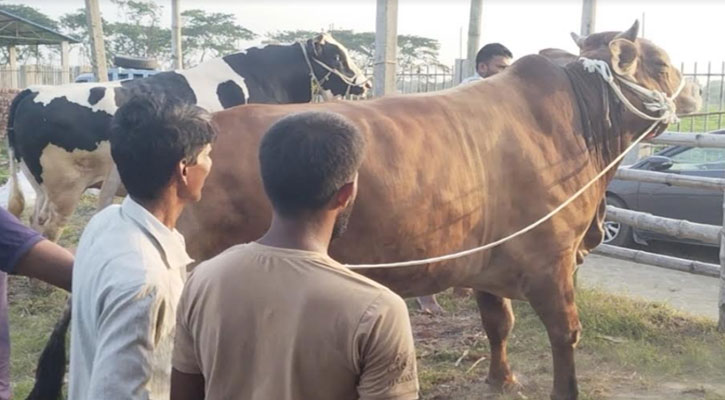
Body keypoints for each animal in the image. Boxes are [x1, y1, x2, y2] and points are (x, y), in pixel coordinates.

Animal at [5, 32, 368, 239]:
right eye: (338, 56)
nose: (364, 85)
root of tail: (33, 90)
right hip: (65, 187)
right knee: (50, 227)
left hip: (43, 185)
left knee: (35, 221)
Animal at [178, 22, 700, 400]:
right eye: (659, 61)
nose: (694, 90)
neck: (579, 123)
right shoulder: (552, 262)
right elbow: (565, 334)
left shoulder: (489, 260)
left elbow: (498, 322)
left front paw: (501, 379)